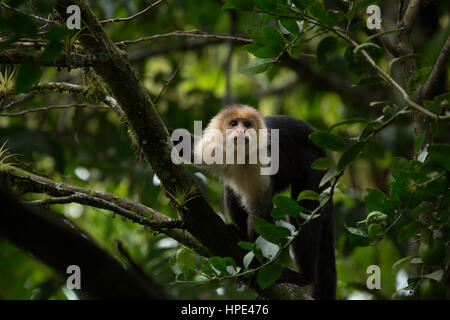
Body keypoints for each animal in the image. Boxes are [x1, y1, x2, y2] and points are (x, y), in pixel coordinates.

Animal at [192, 104, 336, 298]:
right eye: (233, 123)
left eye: (246, 124)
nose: (241, 130)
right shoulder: (212, 146)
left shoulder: (261, 160)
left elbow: (261, 211)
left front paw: (258, 263)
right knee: (231, 191)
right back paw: (240, 233)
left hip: (316, 169)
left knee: (303, 213)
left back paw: (304, 276)